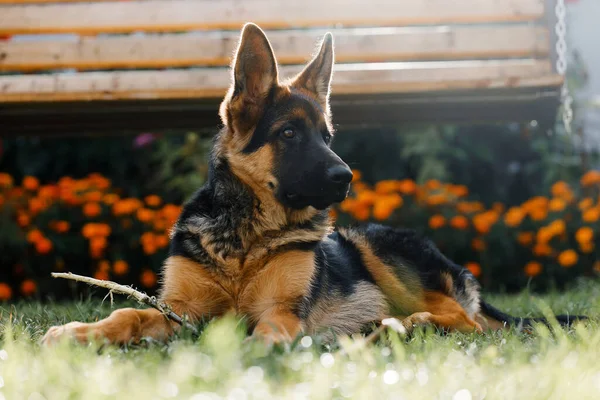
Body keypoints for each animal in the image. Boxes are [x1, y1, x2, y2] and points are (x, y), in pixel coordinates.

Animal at [42, 22, 584, 346]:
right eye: (288, 134)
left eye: (326, 137)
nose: (346, 177)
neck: (247, 237)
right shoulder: (179, 310)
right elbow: (127, 316)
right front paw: (80, 330)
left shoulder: (282, 310)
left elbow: (265, 331)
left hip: (373, 246)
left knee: (465, 321)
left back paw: (408, 324)